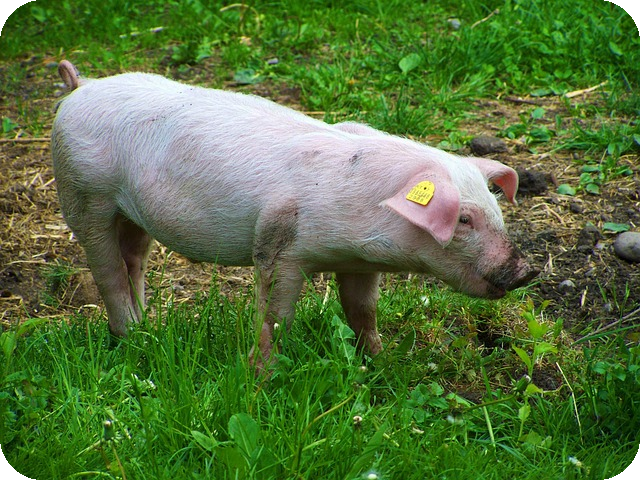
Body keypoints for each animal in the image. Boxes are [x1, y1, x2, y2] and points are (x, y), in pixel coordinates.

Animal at [51, 60, 538, 370]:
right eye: (464, 220)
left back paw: (148, 329)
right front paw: (260, 377)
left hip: (132, 214)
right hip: (84, 193)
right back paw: (131, 338)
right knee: (108, 271)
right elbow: (274, 314)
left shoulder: (359, 264)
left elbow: (362, 310)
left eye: (496, 210)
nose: (526, 270)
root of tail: (82, 86)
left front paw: (379, 363)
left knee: (133, 260)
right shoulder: (276, 241)